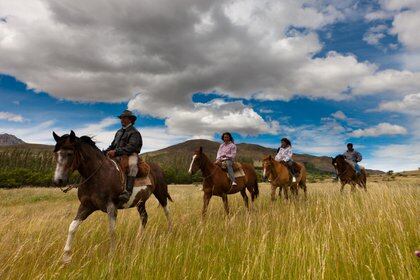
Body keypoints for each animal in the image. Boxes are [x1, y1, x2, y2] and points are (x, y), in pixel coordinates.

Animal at [53, 131, 174, 262]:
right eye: (56, 154)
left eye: (70, 153)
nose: (58, 181)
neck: (97, 175)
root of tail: (158, 168)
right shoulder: (86, 206)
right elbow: (72, 227)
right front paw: (66, 257)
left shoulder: (111, 207)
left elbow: (111, 230)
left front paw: (112, 254)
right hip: (140, 202)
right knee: (144, 217)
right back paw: (139, 238)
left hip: (161, 193)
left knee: (167, 211)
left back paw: (170, 232)